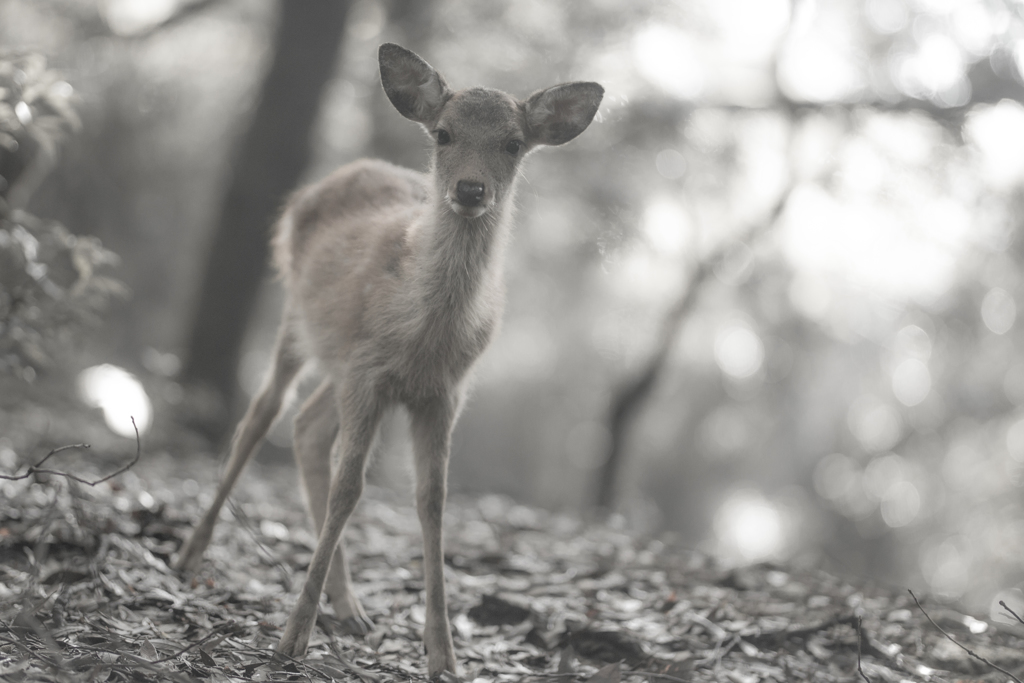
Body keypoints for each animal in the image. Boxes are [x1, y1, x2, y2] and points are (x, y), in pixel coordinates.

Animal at [174, 44, 598, 679]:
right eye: (443, 133)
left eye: (513, 143)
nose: (470, 189)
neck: (424, 333)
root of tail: (317, 187)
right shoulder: (368, 373)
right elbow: (350, 488)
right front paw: (291, 640)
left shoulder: (442, 391)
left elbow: (433, 502)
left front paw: (443, 654)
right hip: (298, 321)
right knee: (263, 415)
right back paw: (190, 554)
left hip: (339, 360)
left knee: (306, 427)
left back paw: (350, 606)